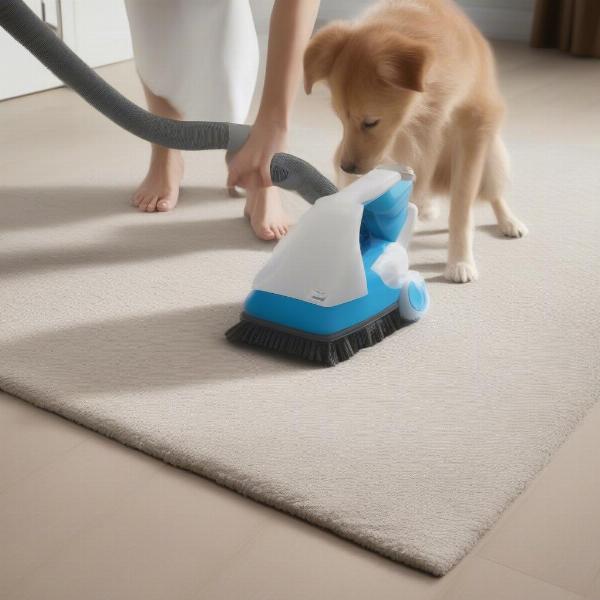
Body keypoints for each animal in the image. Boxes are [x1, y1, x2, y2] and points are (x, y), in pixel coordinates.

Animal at [308, 0, 528, 284]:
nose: (346, 166)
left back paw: (509, 221)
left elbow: (462, 207)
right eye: (340, 119)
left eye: (371, 122)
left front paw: (460, 261)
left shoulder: (474, 128)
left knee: (493, 193)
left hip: (492, 154)